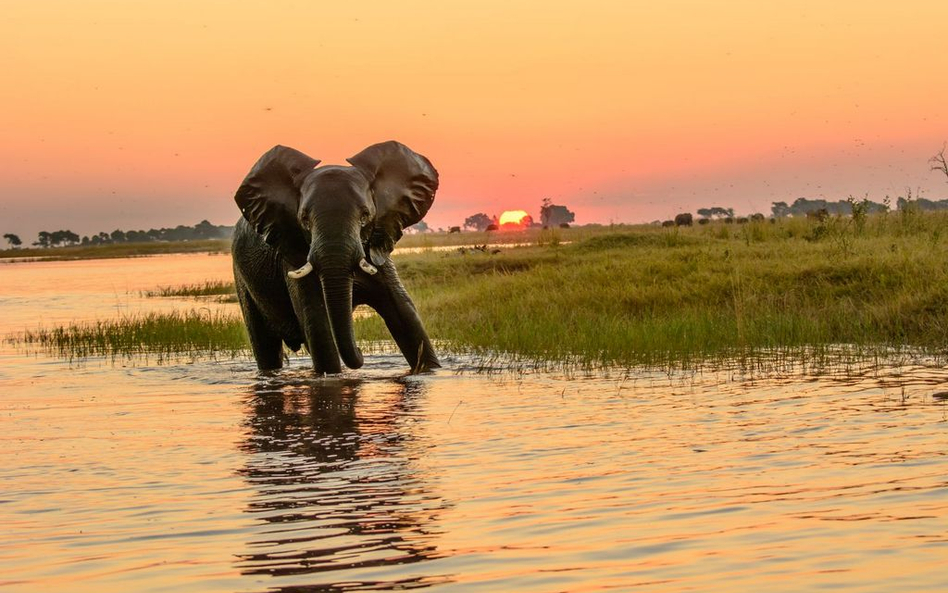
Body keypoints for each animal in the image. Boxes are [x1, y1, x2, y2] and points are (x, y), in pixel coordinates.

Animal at [230, 139, 440, 372]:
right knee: (265, 345)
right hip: (242, 278)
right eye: (304, 219)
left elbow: (405, 315)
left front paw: (430, 370)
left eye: (365, 215)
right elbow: (318, 325)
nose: (361, 352)